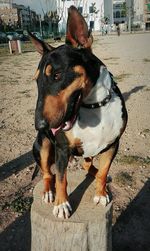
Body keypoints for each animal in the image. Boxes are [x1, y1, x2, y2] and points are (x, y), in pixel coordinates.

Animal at [29, 4, 127, 219]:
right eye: (36, 80)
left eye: (57, 75)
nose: (39, 125)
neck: (94, 106)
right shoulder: (61, 148)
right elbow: (61, 178)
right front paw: (62, 204)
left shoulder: (113, 144)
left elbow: (103, 171)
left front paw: (101, 194)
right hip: (43, 146)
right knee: (48, 173)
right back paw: (48, 192)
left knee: (87, 165)